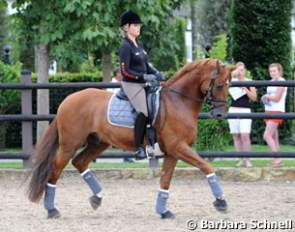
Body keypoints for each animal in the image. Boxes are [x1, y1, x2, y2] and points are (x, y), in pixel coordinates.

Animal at [27, 59, 236, 218]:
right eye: (219, 85)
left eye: (229, 85)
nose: (220, 115)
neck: (179, 102)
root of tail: (67, 100)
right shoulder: (179, 147)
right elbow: (206, 166)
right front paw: (221, 201)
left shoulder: (172, 152)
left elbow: (165, 180)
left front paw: (163, 211)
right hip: (69, 144)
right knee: (56, 168)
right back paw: (52, 209)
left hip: (98, 143)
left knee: (80, 162)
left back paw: (97, 197)